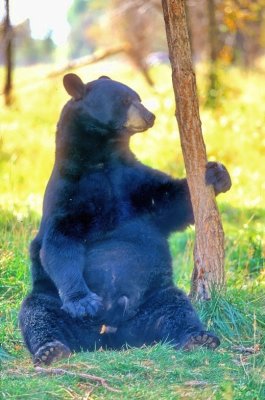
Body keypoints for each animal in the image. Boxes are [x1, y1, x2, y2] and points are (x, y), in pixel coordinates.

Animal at [18, 74, 230, 366]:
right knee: (38, 314)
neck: (101, 158)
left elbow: (171, 201)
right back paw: (51, 349)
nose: (150, 115)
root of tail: (112, 336)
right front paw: (84, 301)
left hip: (153, 298)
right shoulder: (68, 193)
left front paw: (217, 173)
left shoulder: (133, 183)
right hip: (50, 298)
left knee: (176, 309)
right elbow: (60, 242)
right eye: (125, 100)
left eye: (137, 97)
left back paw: (198, 338)